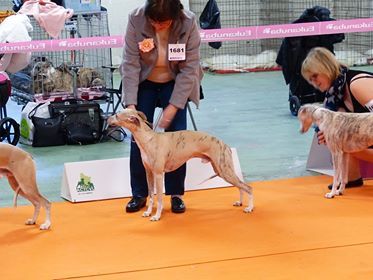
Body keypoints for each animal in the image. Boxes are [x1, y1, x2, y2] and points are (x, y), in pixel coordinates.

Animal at [107, 109, 253, 221]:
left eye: (117, 115)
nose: (107, 119)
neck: (149, 139)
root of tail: (225, 144)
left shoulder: (158, 174)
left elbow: (159, 198)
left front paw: (156, 216)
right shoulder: (149, 173)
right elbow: (151, 196)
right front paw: (148, 212)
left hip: (224, 170)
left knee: (248, 187)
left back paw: (249, 208)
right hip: (223, 170)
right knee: (240, 186)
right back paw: (240, 202)